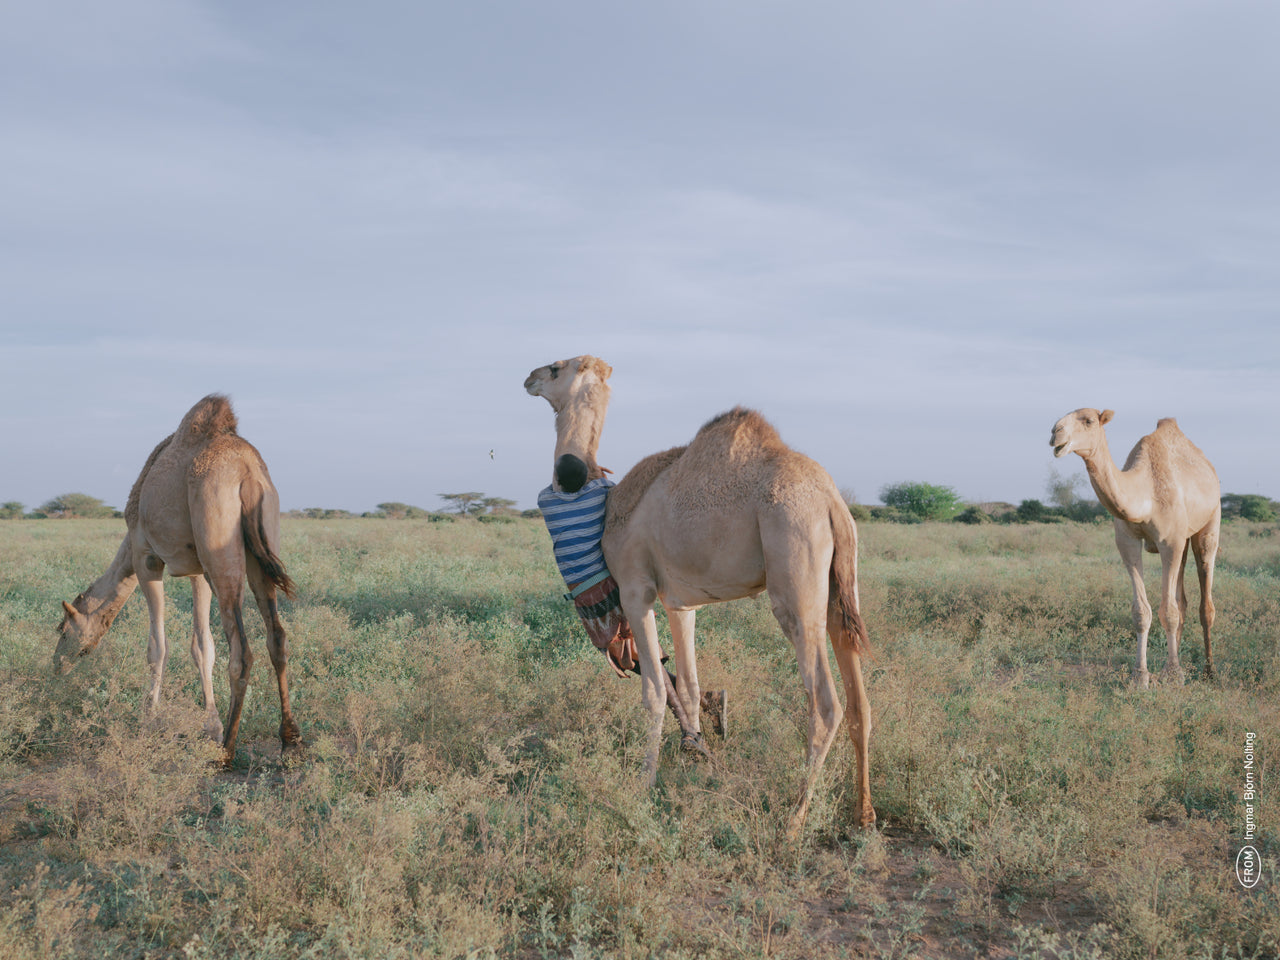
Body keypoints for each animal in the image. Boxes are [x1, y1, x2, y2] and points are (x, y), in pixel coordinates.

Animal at [55, 394, 302, 761]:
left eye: (63, 631)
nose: (56, 667)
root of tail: (247, 473)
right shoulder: (197, 569)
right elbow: (203, 646)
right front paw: (210, 726)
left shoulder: (146, 557)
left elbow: (157, 645)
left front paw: (148, 720)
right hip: (260, 541)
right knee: (277, 638)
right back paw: (289, 739)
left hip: (219, 540)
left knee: (242, 651)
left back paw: (227, 752)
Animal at [526, 356, 874, 837]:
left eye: (557, 368)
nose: (529, 378)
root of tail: (831, 501)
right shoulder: (681, 602)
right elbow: (688, 687)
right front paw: (695, 759)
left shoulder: (636, 589)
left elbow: (654, 691)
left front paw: (643, 787)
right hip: (843, 584)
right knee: (860, 702)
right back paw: (863, 815)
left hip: (794, 573)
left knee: (825, 702)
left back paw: (793, 821)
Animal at [1050, 408, 1220, 687]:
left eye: (1088, 421)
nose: (1056, 433)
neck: (1145, 495)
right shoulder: (1127, 541)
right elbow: (1143, 611)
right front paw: (1141, 676)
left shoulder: (1170, 541)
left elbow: (1168, 611)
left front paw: (1174, 675)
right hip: (1183, 542)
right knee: (1181, 600)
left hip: (1210, 523)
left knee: (1204, 599)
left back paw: (1209, 671)